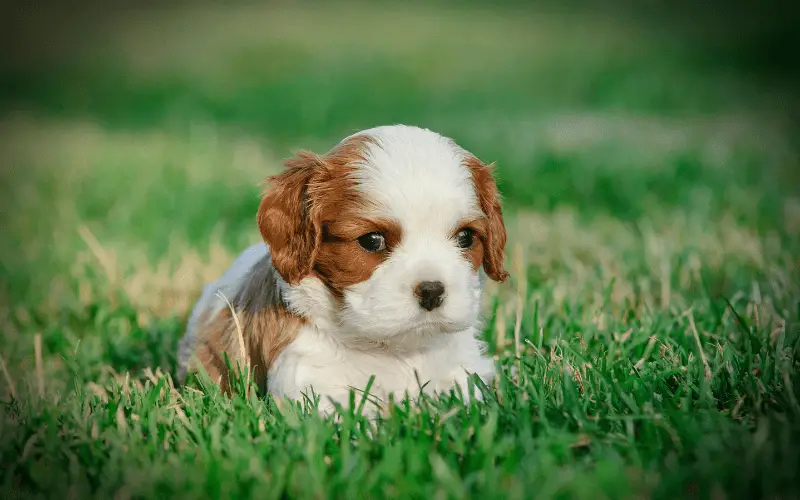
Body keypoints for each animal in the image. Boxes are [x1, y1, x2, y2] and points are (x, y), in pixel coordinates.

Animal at [178, 123, 510, 412]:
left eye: (466, 237)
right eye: (372, 240)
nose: (432, 290)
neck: (395, 350)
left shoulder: (460, 371)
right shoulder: (312, 382)